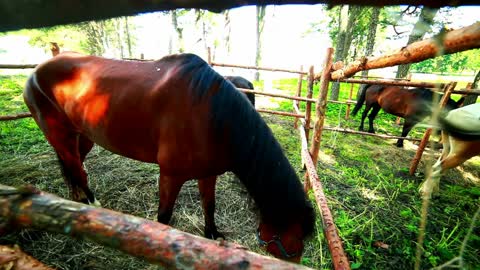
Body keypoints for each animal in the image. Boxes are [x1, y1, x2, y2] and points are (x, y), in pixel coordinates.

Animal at [23, 52, 316, 262]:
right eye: (293, 245)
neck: (212, 117)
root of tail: (36, 71)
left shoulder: (208, 174)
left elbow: (209, 206)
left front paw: (212, 235)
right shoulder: (170, 176)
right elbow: (164, 218)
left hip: (82, 137)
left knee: (73, 168)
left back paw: (76, 201)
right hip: (60, 135)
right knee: (76, 169)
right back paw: (91, 204)